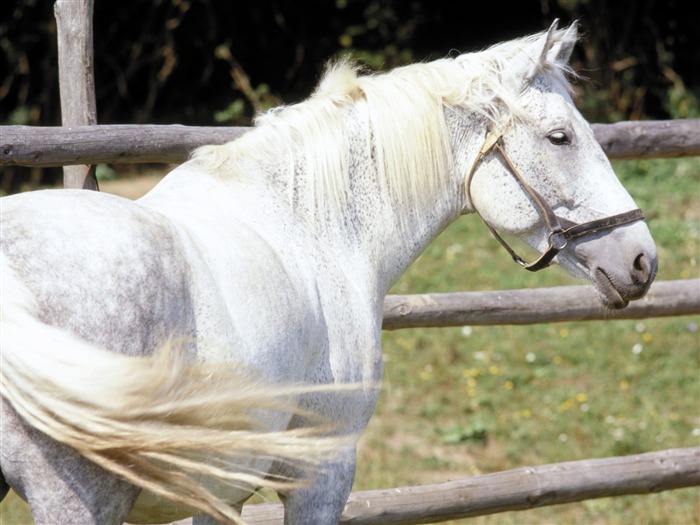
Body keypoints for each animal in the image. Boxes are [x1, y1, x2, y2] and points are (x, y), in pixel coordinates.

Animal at [0, 21, 656, 524]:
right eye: (560, 137)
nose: (642, 260)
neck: (313, 227)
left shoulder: (217, 489)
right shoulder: (323, 472)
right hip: (80, 498)